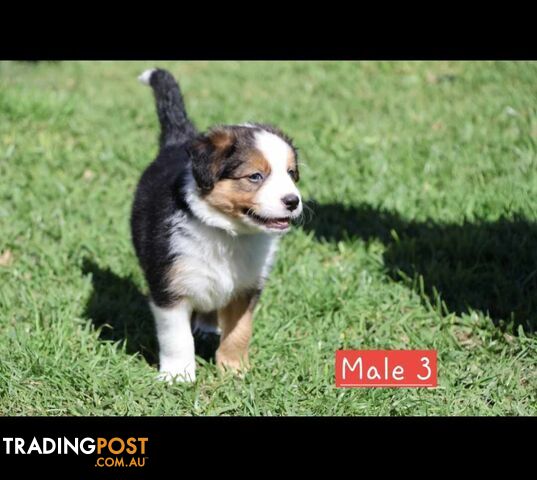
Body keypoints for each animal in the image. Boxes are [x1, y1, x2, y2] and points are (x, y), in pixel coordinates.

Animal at [130, 68, 302, 382]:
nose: (293, 201)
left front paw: (234, 369)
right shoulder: (168, 286)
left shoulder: (248, 286)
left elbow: (240, 330)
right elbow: (177, 337)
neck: (228, 233)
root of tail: (178, 142)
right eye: (255, 176)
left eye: (291, 173)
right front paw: (178, 376)